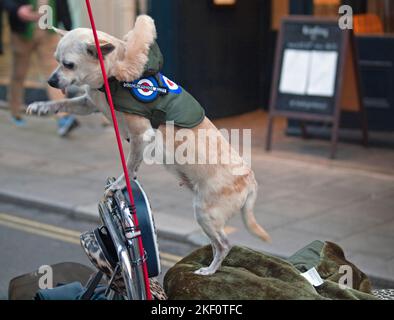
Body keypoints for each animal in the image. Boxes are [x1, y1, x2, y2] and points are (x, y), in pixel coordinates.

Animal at [26, 15, 270, 276]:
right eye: (55, 61)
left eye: (69, 64)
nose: (50, 80)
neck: (111, 77)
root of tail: (250, 179)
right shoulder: (89, 104)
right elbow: (66, 103)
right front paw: (43, 106)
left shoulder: (141, 136)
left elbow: (130, 165)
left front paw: (120, 184)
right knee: (217, 244)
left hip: (206, 213)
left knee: (224, 244)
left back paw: (210, 270)